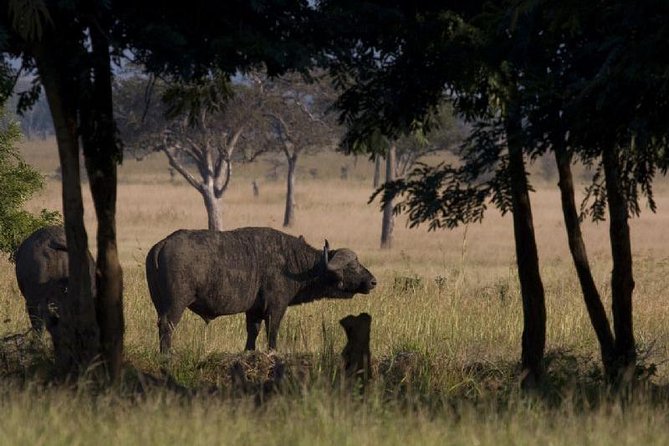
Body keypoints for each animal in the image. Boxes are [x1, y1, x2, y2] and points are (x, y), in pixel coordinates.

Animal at [145, 228, 376, 354]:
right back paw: (168, 354)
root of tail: (162, 244)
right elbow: (272, 331)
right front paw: (273, 352)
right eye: (353, 266)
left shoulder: (254, 310)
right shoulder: (276, 307)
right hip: (176, 305)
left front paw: (249, 351)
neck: (295, 263)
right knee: (167, 326)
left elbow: (253, 331)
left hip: (159, 304)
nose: (373, 281)